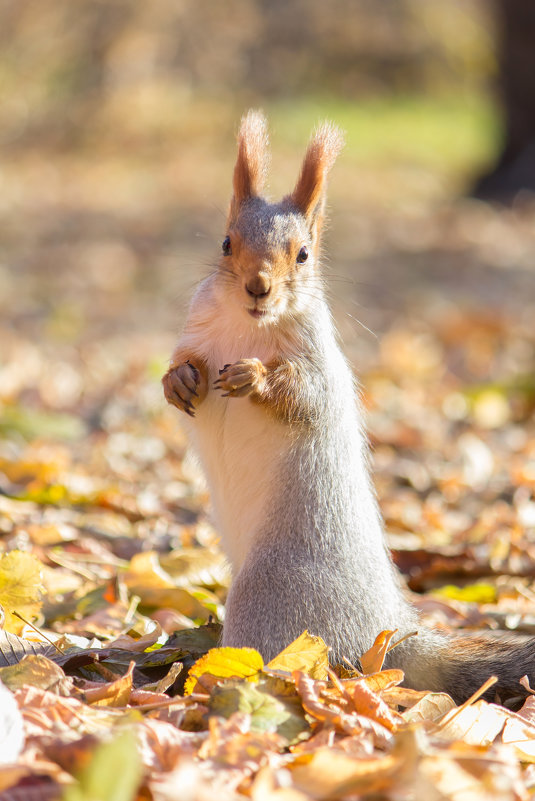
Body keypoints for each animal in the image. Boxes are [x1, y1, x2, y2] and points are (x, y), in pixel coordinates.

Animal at [163, 111, 535, 700]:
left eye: (303, 254)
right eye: (225, 243)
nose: (257, 287)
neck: (249, 326)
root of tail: (386, 634)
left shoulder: (319, 360)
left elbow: (307, 397)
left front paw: (254, 377)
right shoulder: (196, 330)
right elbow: (182, 363)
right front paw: (178, 380)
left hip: (270, 596)